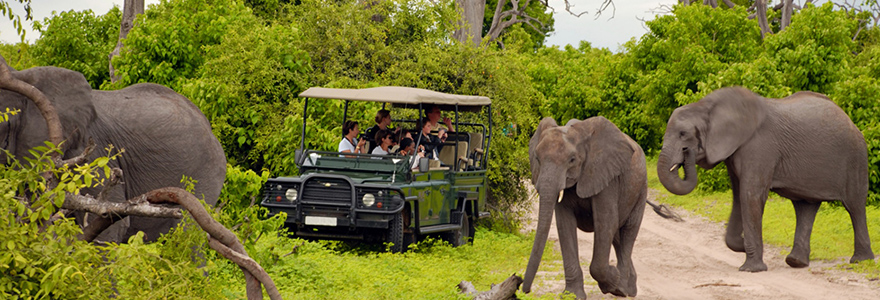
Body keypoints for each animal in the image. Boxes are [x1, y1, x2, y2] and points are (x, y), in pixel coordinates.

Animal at [524, 116, 648, 296]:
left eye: (572, 160)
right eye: (537, 159)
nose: (524, 289)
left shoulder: (606, 176)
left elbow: (605, 221)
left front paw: (612, 282)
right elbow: (564, 225)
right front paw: (572, 295)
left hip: (640, 189)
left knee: (628, 231)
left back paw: (622, 289)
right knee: (616, 235)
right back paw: (629, 288)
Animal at [660, 86, 872, 272]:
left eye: (683, 134)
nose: (686, 153)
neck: (707, 105)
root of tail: (851, 121)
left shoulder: (760, 146)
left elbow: (750, 196)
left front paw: (751, 268)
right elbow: (739, 197)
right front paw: (743, 246)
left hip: (856, 158)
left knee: (854, 206)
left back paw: (861, 261)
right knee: (805, 207)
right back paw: (796, 262)